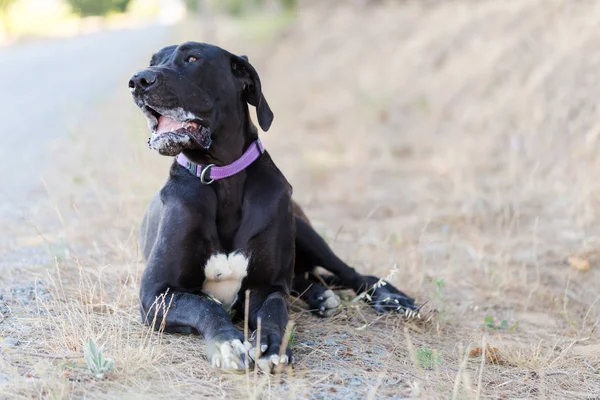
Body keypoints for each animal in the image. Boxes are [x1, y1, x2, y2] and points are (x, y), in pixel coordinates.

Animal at [129, 43, 420, 372]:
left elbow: (273, 309)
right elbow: (205, 305)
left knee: (349, 273)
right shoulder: (155, 293)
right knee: (305, 279)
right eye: (153, 61)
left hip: (303, 230)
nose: (137, 80)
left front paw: (271, 344)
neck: (221, 176)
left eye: (193, 58)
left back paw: (390, 298)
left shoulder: (266, 286)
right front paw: (227, 343)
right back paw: (320, 295)